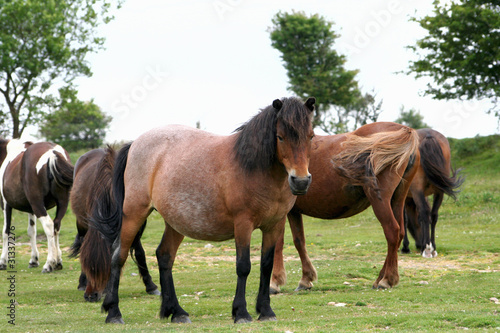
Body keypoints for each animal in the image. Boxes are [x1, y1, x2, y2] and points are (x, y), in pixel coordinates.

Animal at [0, 139, 73, 272]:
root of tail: (52, 153)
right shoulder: (31, 209)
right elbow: (31, 231)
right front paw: (34, 260)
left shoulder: (6, 204)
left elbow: (6, 231)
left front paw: (3, 261)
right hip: (62, 204)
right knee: (56, 225)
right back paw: (58, 261)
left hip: (38, 204)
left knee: (49, 225)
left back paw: (49, 263)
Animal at [81, 96, 316, 324]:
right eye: (280, 137)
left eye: (311, 136)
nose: (301, 181)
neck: (253, 168)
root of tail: (135, 143)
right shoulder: (243, 224)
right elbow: (243, 266)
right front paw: (241, 312)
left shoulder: (274, 224)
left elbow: (266, 265)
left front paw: (266, 311)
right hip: (134, 214)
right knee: (118, 256)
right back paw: (114, 312)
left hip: (175, 223)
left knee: (164, 256)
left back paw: (176, 312)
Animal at [272, 121, 420, 290]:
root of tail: (405, 131)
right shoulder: (293, 212)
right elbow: (299, 241)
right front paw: (305, 279)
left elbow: (278, 243)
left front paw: (275, 282)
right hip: (397, 200)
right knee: (400, 233)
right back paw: (381, 278)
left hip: (381, 201)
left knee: (392, 232)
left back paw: (387, 279)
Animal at [400, 127, 462, 256]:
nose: (418, 244)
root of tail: (428, 135)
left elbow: (405, 219)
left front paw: (405, 247)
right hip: (439, 192)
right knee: (433, 215)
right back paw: (432, 246)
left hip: (418, 190)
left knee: (424, 212)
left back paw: (426, 248)